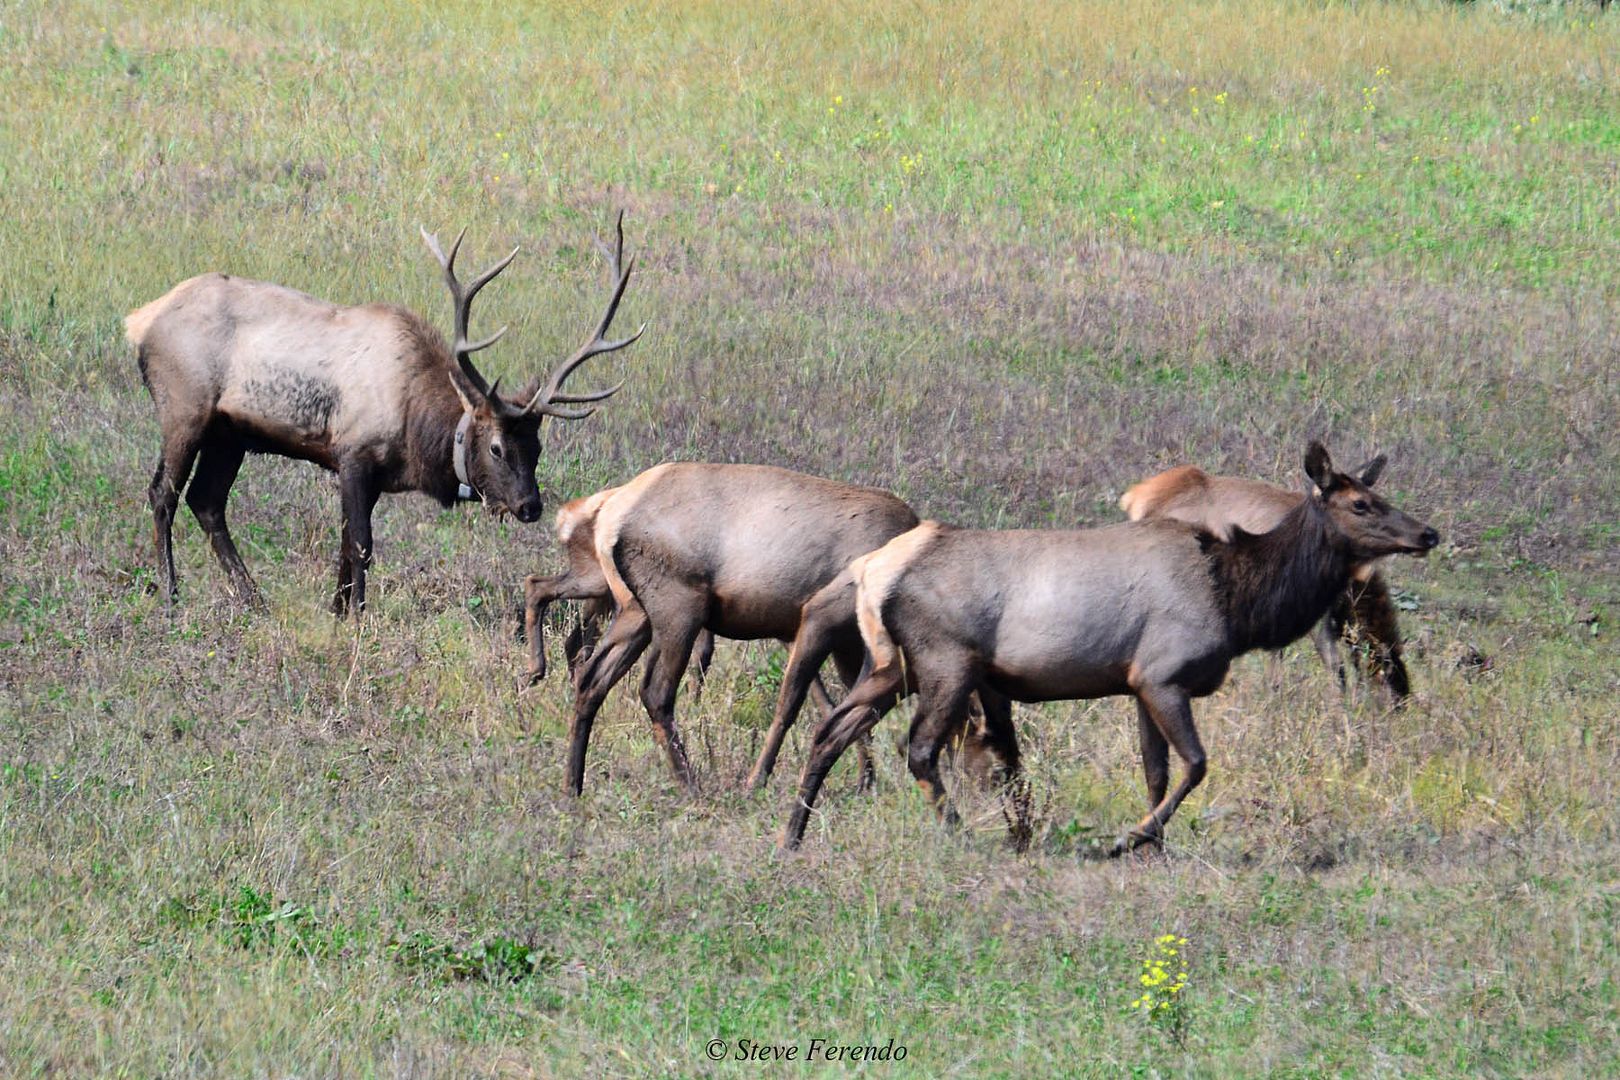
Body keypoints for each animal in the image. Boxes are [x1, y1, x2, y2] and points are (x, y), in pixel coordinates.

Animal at [126, 213, 642, 615]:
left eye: (537, 447)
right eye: (496, 447)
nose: (529, 506)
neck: (416, 428)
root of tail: (140, 320)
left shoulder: (369, 474)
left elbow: (342, 545)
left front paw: (336, 610)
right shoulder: (353, 454)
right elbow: (361, 544)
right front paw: (356, 615)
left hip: (229, 432)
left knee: (206, 501)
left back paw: (255, 599)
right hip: (184, 407)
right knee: (163, 493)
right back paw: (171, 596)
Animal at [558, 462, 1022, 798]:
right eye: (990, 743)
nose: (989, 789)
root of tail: (609, 515)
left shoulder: (837, 638)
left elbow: (838, 705)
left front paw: (865, 780)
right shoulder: (818, 617)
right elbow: (794, 705)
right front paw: (757, 780)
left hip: (635, 610)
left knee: (592, 677)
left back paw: (573, 785)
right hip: (679, 606)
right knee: (655, 692)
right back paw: (691, 785)